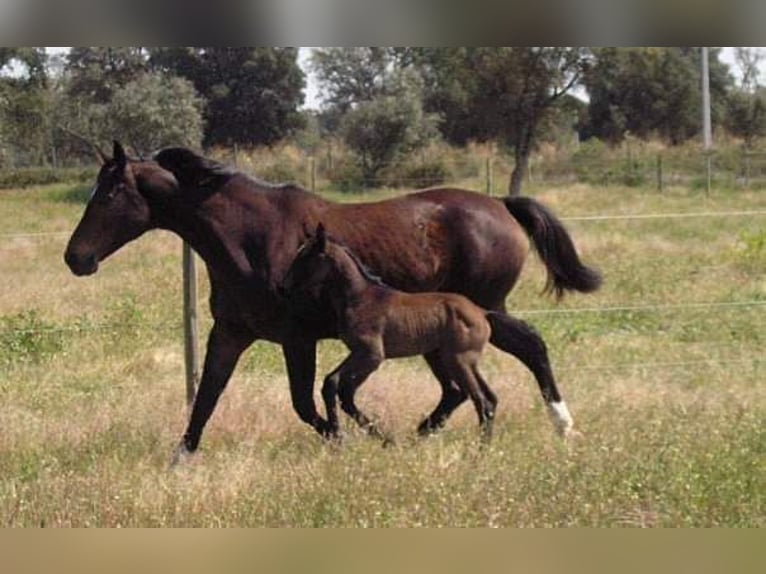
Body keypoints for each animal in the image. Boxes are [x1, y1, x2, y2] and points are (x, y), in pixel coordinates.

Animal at [64, 141, 600, 461]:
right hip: (443, 334)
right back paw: (420, 436)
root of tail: (501, 205)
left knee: (526, 347)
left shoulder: (296, 339)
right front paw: (183, 459)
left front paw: (342, 441)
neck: (249, 237)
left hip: (485, 308)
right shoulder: (230, 334)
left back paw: (563, 425)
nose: (75, 258)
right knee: (461, 386)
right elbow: (207, 396)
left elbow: (304, 403)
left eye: (109, 194)